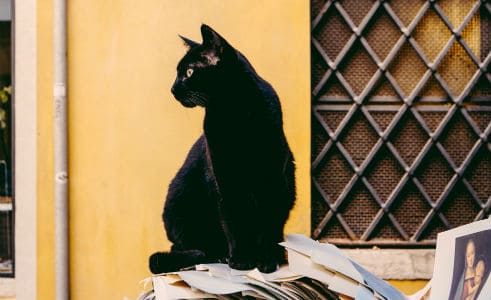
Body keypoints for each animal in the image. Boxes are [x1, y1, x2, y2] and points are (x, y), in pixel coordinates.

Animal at [150, 24, 296, 274]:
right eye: (178, 72)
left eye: (189, 72)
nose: (172, 89)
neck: (233, 111)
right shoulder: (224, 176)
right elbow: (233, 220)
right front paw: (240, 260)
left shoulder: (273, 177)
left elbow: (268, 225)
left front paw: (266, 260)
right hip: (179, 200)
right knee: (184, 246)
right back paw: (217, 255)